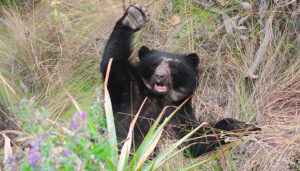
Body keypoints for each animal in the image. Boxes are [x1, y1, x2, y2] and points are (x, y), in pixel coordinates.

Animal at [100, 3, 258, 158]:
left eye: (174, 67)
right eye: (154, 64)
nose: (160, 76)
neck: (160, 99)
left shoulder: (180, 114)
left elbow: (195, 141)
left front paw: (241, 126)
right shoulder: (129, 89)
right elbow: (113, 62)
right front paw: (134, 17)